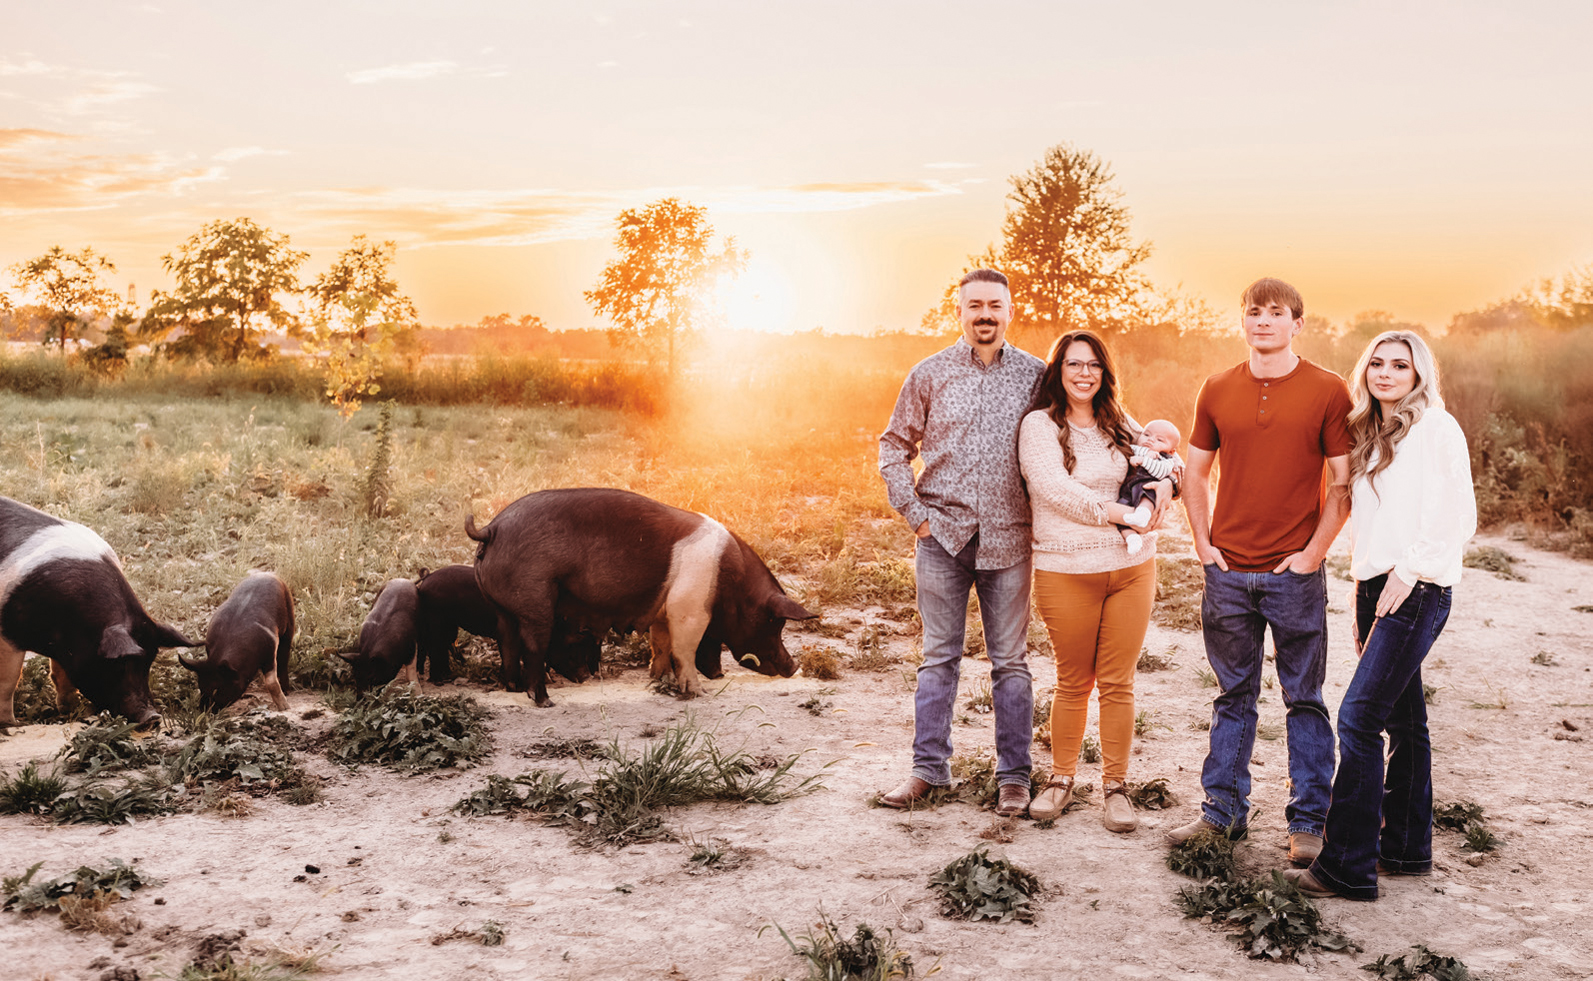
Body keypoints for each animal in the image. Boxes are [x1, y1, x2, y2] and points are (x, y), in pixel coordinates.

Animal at [1, 493, 199, 723]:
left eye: (149, 662)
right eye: (120, 664)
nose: (153, 717)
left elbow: (61, 674)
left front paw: (70, 710)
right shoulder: (7, 636)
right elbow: (8, 681)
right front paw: (12, 724)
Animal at [180, 566, 296, 713]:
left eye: (217, 689)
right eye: (201, 688)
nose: (203, 711)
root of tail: (267, 574)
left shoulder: (270, 650)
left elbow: (271, 681)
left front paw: (285, 708)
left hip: (289, 618)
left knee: (284, 656)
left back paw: (287, 690)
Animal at [461, 487, 809, 703]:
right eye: (774, 624)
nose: (794, 667)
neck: (731, 584)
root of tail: (491, 529)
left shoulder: (664, 611)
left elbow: (661, 645)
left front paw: (657, 679)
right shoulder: (689, 609)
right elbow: (684, 651)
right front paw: (698, 694)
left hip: (503, 609)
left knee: (507, 645)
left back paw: (513, 690)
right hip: (536, 603)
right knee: (534, 648)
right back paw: (544, 701)